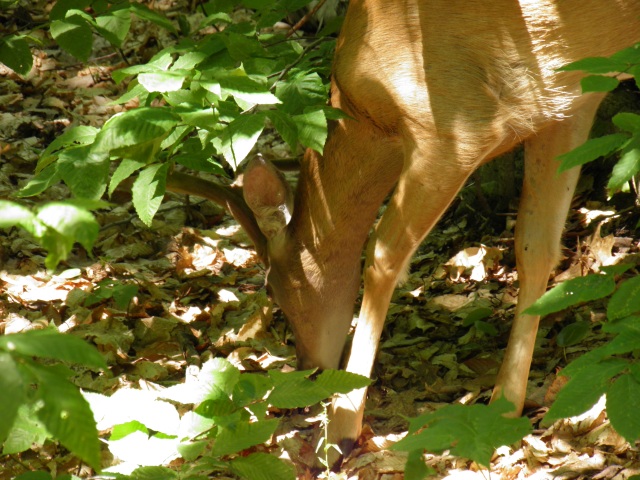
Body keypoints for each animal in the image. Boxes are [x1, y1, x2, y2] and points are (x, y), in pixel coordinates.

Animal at [166, 0, 640, 460]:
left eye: (272, 288)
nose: (308, 369)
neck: (370, 116)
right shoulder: (566, 104)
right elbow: (535, 246)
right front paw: (504, 408)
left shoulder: (454, 128)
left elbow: (381, 256)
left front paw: (343, 427)